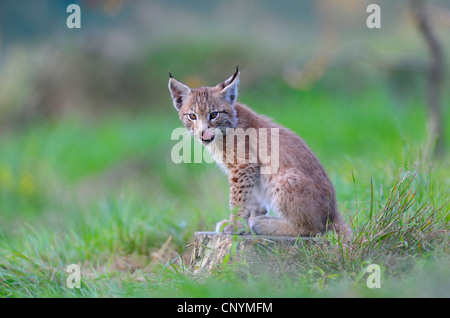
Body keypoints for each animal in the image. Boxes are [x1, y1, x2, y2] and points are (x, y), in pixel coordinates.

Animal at [169, 67, 352, 236]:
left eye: (214, 114)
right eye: (192, 116)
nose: (203, 133)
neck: (226, 128)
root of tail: (333, 214)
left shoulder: (243, 165)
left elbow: (238, 198)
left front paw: (236, 225)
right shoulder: (250, 170)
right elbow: (252, 197)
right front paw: (247, 221)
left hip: (285, 178)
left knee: (313, 230)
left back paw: (265, 224)